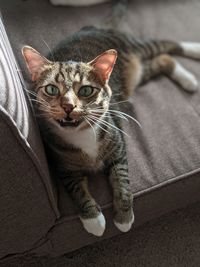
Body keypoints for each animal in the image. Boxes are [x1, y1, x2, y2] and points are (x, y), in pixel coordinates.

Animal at [22, 27, 200, 237]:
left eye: (85, 90)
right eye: (51, 89)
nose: (68, 106)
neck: (81, 133)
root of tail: (92, 28)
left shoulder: (118, 148)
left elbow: (122, 180)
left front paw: (124, 218)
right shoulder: (64, 169)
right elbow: (77, 190)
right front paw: (94, 220)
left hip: (134, 47)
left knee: (168, 45)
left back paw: (192, 66)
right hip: (136, 75)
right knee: (163, 59)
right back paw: (187, 79)